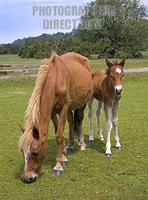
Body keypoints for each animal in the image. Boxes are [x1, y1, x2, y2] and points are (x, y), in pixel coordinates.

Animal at [18, 52, 92, 183]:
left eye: (35, 152)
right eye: (22, 151)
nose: (27, 177)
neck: (56, 79)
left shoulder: (63, 108)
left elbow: (58, 136)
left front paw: (58, 166)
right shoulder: (53, 111)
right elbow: (59, 133)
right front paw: (63, 157)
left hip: (82, 104)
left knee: (80, 120)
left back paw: (82, 144)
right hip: (70, 108)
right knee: (71, 121)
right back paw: (70, 145)